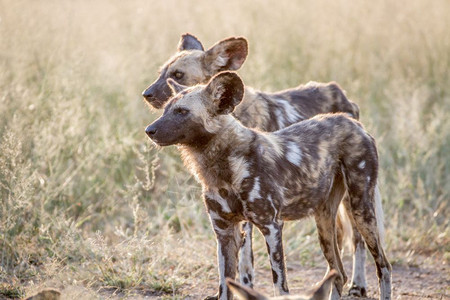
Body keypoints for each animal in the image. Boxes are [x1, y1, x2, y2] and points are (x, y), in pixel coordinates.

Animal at [143, 32, 372, 296]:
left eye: (178, 74)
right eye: (161, 72)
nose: (146, 94)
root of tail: (341, 93)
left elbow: (247, 261)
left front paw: (245, 287)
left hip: (352, 195)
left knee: (358, 239)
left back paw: (358, 283)